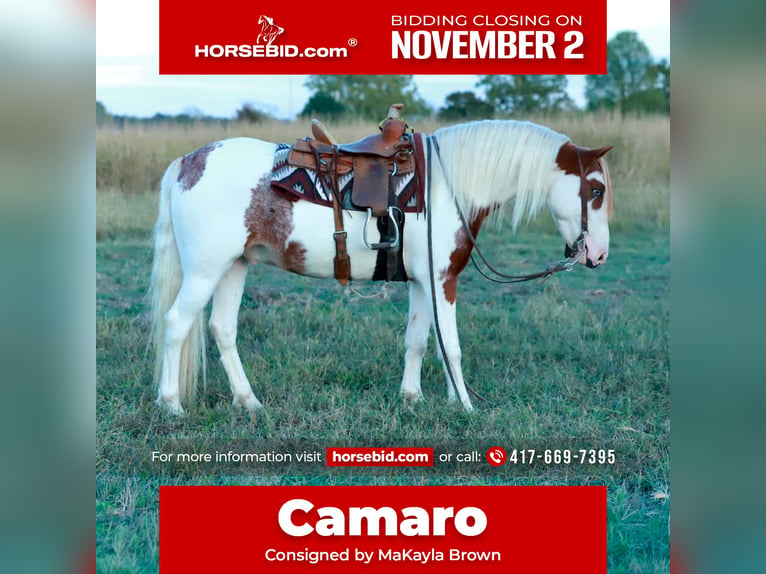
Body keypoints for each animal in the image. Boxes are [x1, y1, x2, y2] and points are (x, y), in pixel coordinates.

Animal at [149, 119, 613, 415]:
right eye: (595, 189)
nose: (599, 254)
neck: (448, 186)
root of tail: (189, 161)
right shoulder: (443, 280)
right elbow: (452, 346)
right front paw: (465, 406)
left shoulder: (423, 282)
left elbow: (419, 341)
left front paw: (414, 398)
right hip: (206, 269)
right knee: (176, 324)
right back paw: (171, 405)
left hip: (234, 265)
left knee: (222, 330)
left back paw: (248, 403)